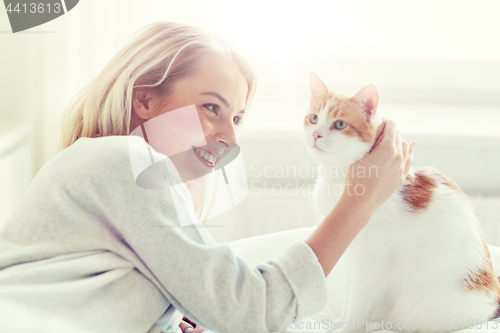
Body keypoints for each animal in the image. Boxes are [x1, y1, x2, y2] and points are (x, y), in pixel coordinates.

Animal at [302, 73, 500, 332]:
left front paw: (348, 327)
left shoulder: (371, 262)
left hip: (418, 309)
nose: (316, 134)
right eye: (314, 118)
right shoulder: (350, 254)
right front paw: (339, 321)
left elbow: (358, 302)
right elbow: (348, 297)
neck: (339, 178)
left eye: (340, 124)